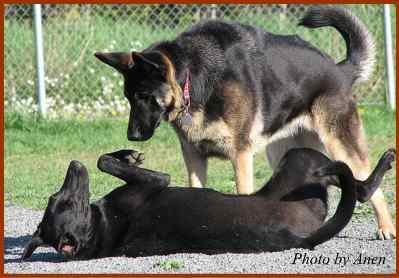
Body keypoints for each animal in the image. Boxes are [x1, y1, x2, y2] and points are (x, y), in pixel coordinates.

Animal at [22, 149, 396, 260]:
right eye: (62, 200)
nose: (74, 165)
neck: (101, 231)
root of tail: (300, 239)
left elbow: (107, 159)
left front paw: (127, 153)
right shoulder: (153, 183)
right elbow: (106, 162)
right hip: (303, 163)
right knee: (359, 188)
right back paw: (386, 160)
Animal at [94, 7, 396, 240]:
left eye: (144, 96)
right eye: (128, 97)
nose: (132, 137)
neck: (194, 77)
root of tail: (340, 69)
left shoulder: (240, 155)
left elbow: (243, 193)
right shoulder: (193, 156)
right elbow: (195, 190)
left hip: (338, 143)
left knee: (368, 184)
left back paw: (386, 228)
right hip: (284, 153)